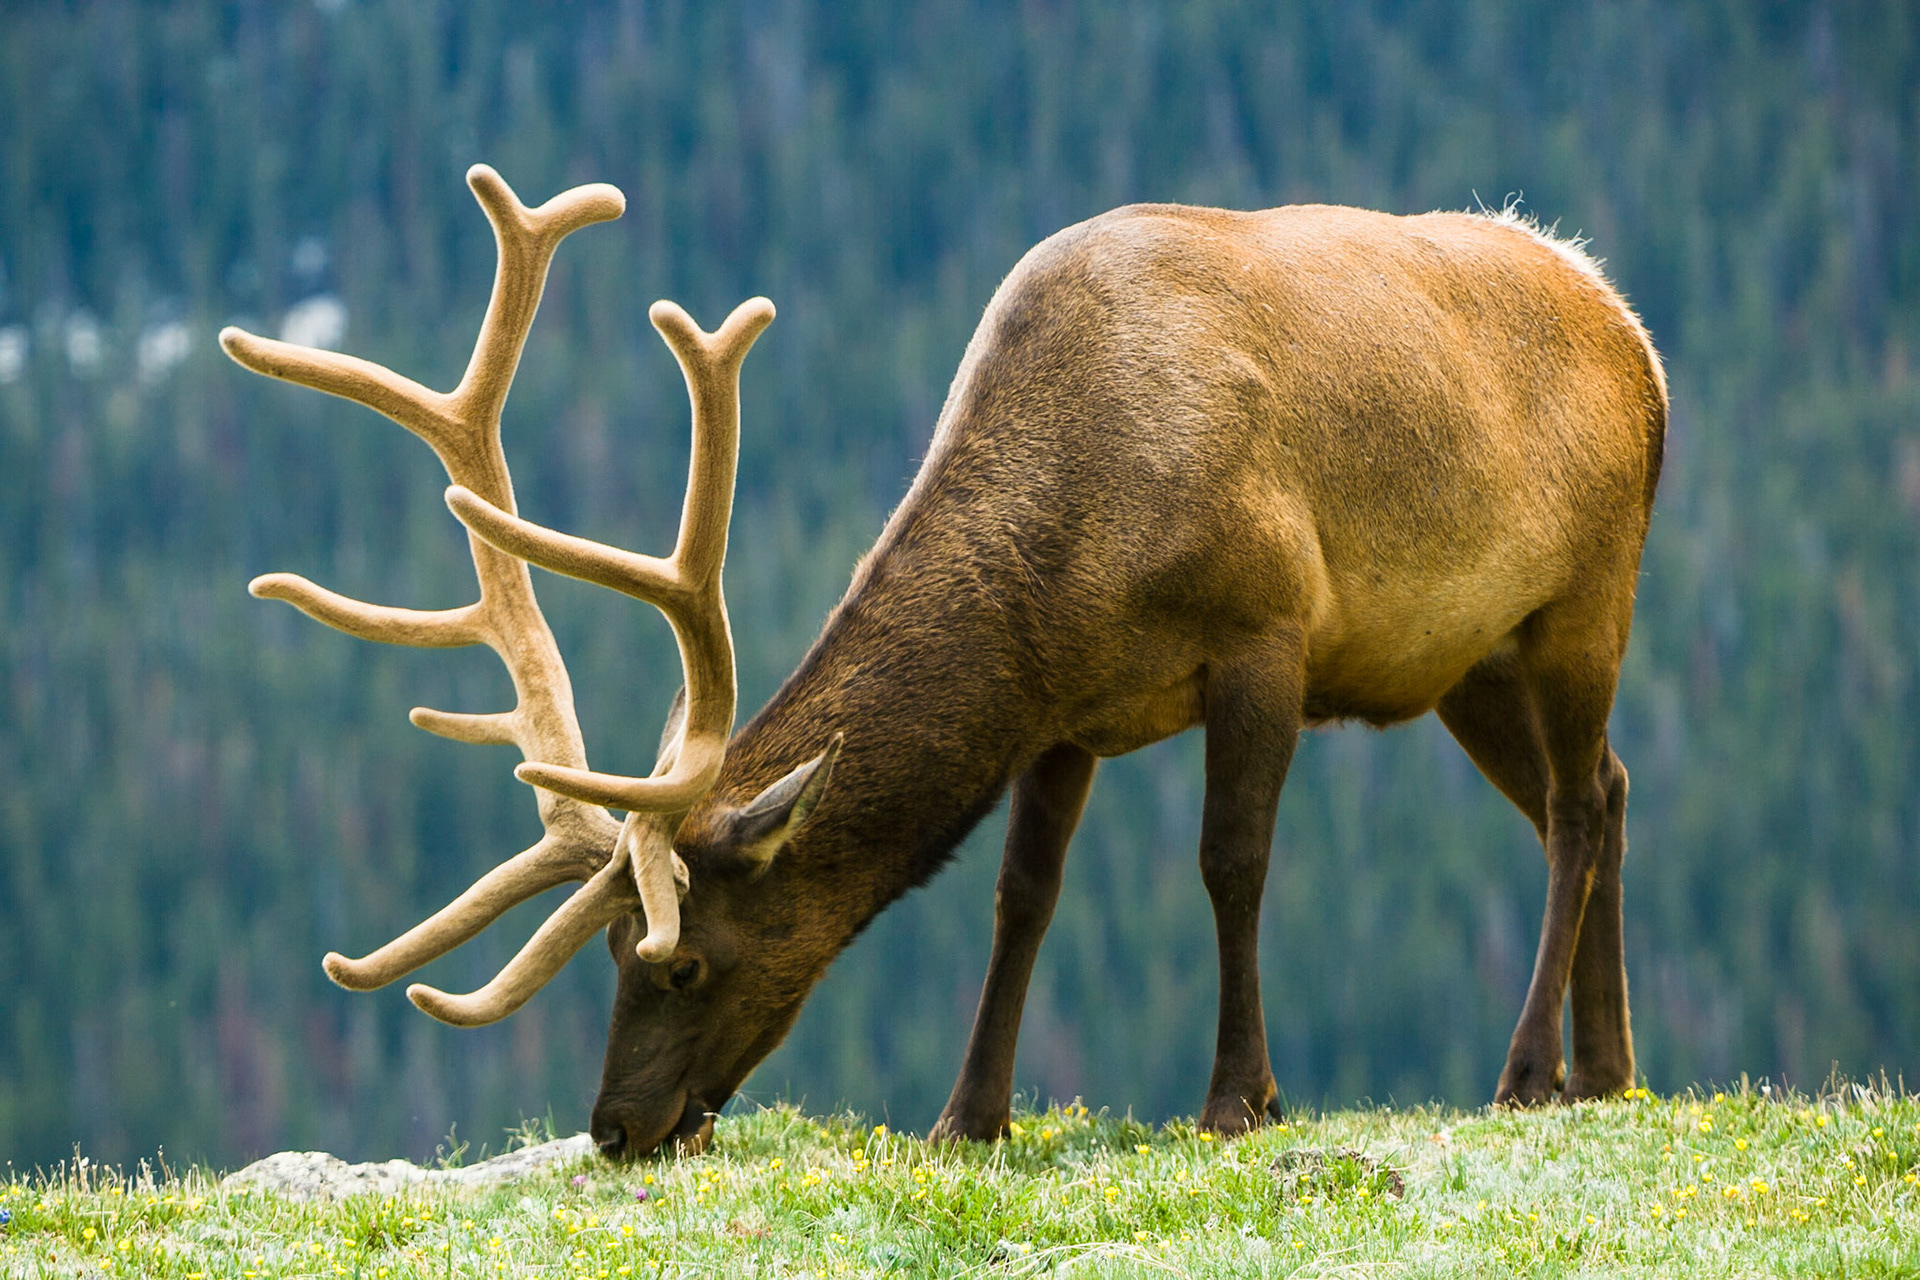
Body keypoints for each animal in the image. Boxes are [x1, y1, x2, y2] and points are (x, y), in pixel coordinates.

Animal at [220, 165, 1666, 1159]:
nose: (617, 1126)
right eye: (611, 947)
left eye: (681, 962)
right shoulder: (1068, 708)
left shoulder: (1267, 632)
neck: (1073, 546)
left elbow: (1231, 863)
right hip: (1468, 660)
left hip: (1586, 592)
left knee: (1576, 804)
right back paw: (1606, 1069)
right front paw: (968, 1115)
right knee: (1602, 791)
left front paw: (1238, 1098)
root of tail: (1634, 331)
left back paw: (1528, 1071)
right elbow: (1022, 895)